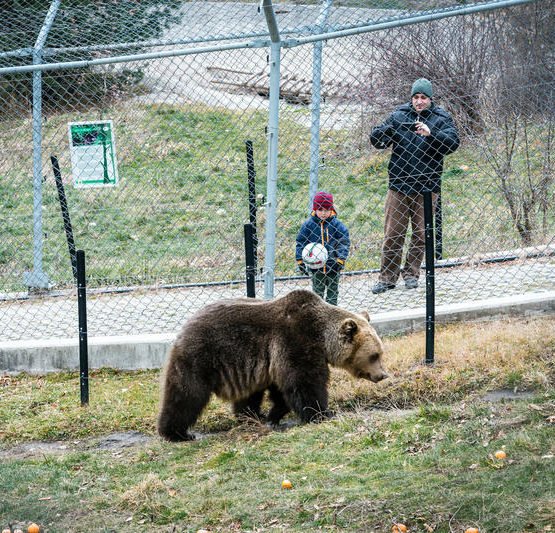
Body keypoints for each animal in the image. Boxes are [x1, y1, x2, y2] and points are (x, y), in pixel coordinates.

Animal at [159, 288, 388, 438]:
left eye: (380, 353)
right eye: (374, 355)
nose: (382, 375)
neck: (321, 337)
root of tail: (184, 326)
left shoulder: (274, 361)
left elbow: (283, 390)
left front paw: (273, 415)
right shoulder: (295, 341)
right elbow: (304, 383)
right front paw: (322, 413)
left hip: (242, 366)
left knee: (248, 394)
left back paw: (252, 416)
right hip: (202, 356)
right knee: (187, 393)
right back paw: (176, 433)